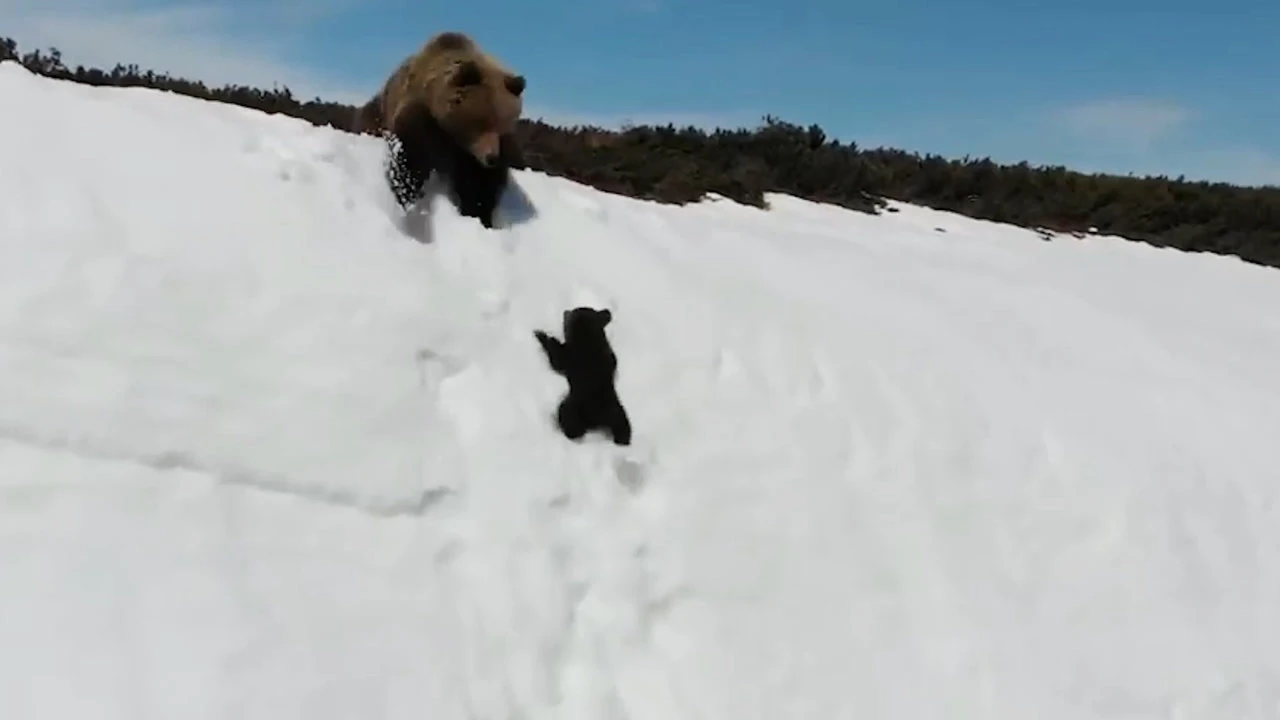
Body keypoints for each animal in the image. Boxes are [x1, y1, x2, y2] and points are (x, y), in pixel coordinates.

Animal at [355, 30, 524, 226]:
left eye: (503, 127)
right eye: (482, 122)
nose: (492, 158)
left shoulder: (471, 156)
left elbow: (479, 184)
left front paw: (478, 213)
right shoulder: (422, 120)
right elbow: (409, 159)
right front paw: (407, 201)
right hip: (380, 109)